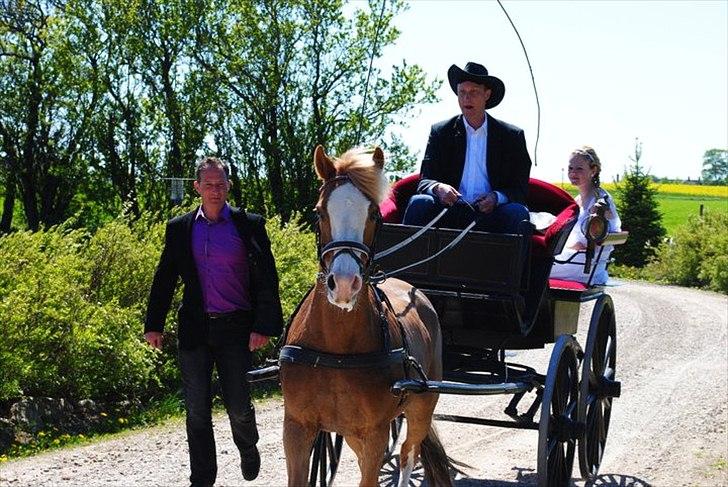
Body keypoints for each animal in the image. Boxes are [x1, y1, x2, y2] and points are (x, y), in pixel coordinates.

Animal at [278, 146, 452, 487]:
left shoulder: (374, 434)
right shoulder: (296, 427)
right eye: (319, 212)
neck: (334, 351)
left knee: (409, 453)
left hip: (421, 408)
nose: (345, 284)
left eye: (374, 214)